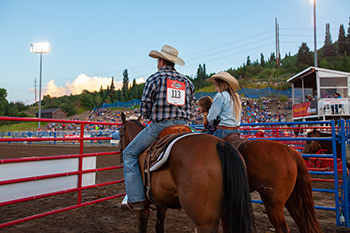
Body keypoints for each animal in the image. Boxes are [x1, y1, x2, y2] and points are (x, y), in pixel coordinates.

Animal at [118, 113, 254, 233]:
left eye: (119, 134)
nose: (120, 152)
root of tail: (221, 145)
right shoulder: (161, 203)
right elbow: (159, 227)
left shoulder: (143, 207)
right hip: (228, 215)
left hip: (205, 223)